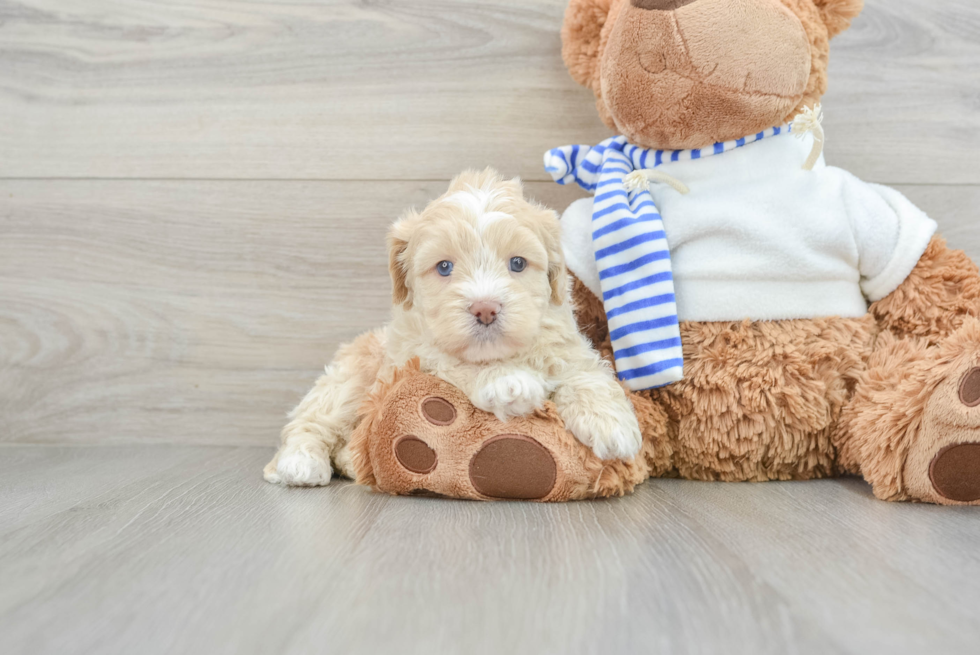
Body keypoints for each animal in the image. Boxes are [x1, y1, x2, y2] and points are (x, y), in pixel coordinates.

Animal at [264, 169, 644, 486]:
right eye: (444, 267)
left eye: (517, 263)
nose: (486, 309)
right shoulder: (416, 352)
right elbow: (455, 361)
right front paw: (507, 382)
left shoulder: (565, 343)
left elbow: (585, 372)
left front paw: (611, 422)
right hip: (349, 379)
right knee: (311, 421)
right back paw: (301, 463)